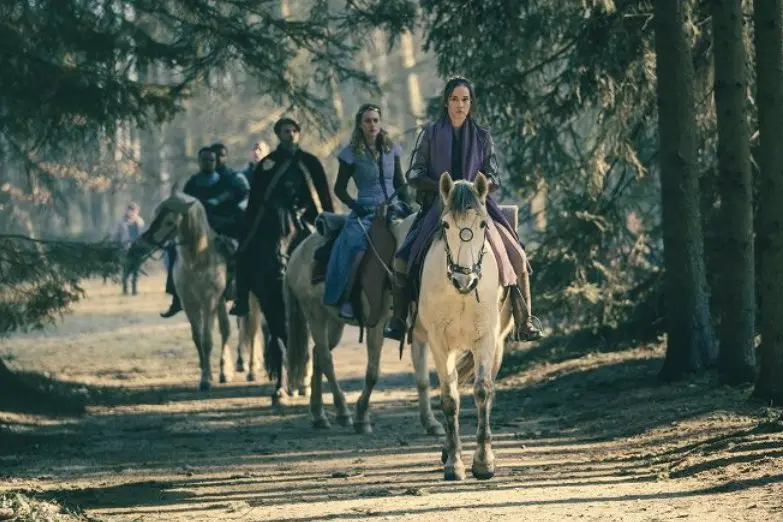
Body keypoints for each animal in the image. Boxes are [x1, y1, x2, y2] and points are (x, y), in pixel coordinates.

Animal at [286, 213, 448, 436]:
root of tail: (297, 252)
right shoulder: (376, 326)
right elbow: (373, 373)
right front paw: (361, 418)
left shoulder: (418, 330)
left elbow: (422, 379)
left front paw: (431, 423)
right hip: (314, 314)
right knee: (326, 359)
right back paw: (343, 412)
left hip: (335, 322)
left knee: (318, 354)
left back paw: (319, 415)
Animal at [414, 173, 516, 482]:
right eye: (446, 224)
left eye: (482, 224)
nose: (464, 278)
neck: (460, 293)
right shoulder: (439, 343)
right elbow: (450, 398)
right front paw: (454, 463)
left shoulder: (485, 340)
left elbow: (482, 391)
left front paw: (483, 462)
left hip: (497, 345)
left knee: (490, 388)